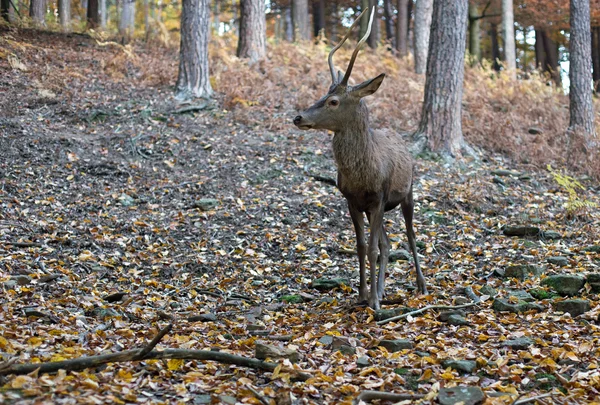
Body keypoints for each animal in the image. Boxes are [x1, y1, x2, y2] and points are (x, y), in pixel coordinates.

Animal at [292, 7, 426, 310]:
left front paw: (373, 301)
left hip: (407, 193)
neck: (363, 174)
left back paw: (421, 285)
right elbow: (363, 246)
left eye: (333, 101)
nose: (298, 117)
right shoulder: (353, 200)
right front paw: (362, 296)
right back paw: (383, 289)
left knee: (411, 235)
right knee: (387, 243)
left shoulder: (379, 196)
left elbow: (374, 247)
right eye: (323, 94)